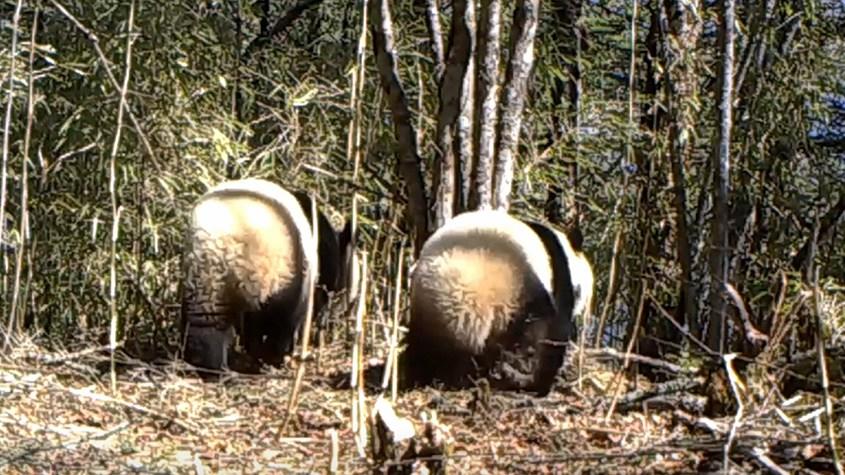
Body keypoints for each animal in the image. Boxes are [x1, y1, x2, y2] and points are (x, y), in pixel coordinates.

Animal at [180, 178, 354, 372]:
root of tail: (220, 240)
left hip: (201, 275)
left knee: (207, 318)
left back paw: (208, 362)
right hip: (273, 270)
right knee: (274, 319)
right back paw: (270, 358)